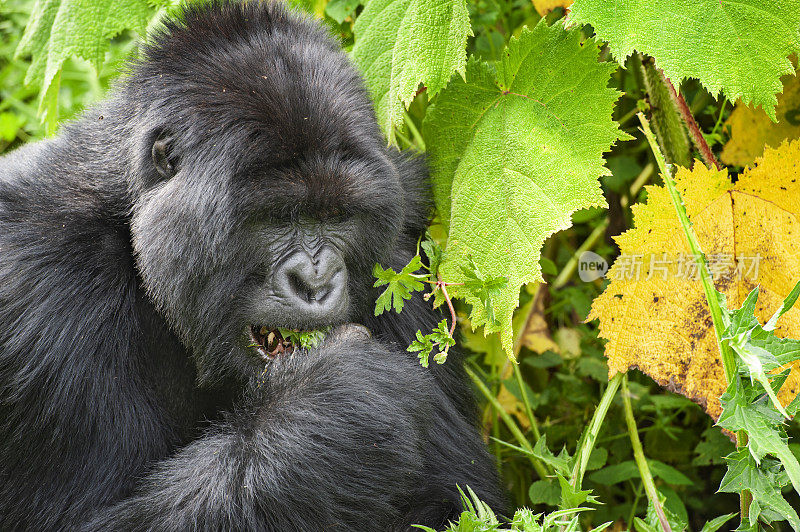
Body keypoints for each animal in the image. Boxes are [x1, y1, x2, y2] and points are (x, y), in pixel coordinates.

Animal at [1, 2, 506, 528]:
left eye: (337, 216)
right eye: (278, 217)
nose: (316, 281)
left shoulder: (403, 234)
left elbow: (463, 499)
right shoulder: (44, 282)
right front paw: (339, 403)